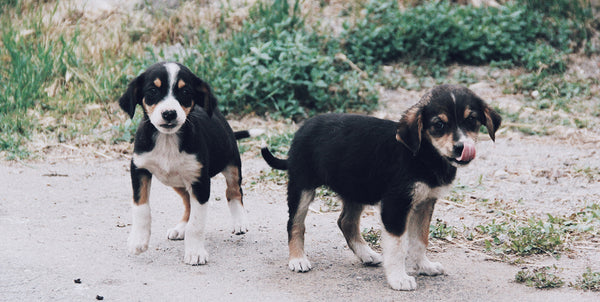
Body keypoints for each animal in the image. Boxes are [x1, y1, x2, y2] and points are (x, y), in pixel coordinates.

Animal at [120, 62, 254, 266]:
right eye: (152, 91)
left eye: (185, 92)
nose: (169, 113)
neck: (167, 140)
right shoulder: (139, 169)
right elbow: (141, 208)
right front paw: (138, 241)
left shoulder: (200, 181)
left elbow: (196, 224)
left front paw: (195, 252)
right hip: (177, 181)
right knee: (188, 202)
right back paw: (181, 227)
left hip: (231, 164)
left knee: (233, 191)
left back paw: (240, 221)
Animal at [260, 84, 500, 290]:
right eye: (439, 125)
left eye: (472, 120)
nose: (461, 147)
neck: (423, 154)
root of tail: (303, 127)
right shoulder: (396, 205)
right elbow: (398, 246)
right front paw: (399, 279)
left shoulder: (426, 202)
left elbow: (420, 239)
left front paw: (424, 266)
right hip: (302, 185)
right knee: (295, 223)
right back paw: (298, 259)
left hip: (356, 188)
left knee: (346, 222)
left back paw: (366, 255)